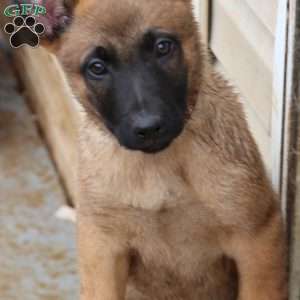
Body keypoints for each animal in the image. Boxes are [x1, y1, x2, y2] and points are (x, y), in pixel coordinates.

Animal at [22, 1, 286, 298]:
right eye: (97, 67)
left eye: (163, 47)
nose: (148, 128)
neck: (158, 166)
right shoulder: (102, 251)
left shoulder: (256, 237)